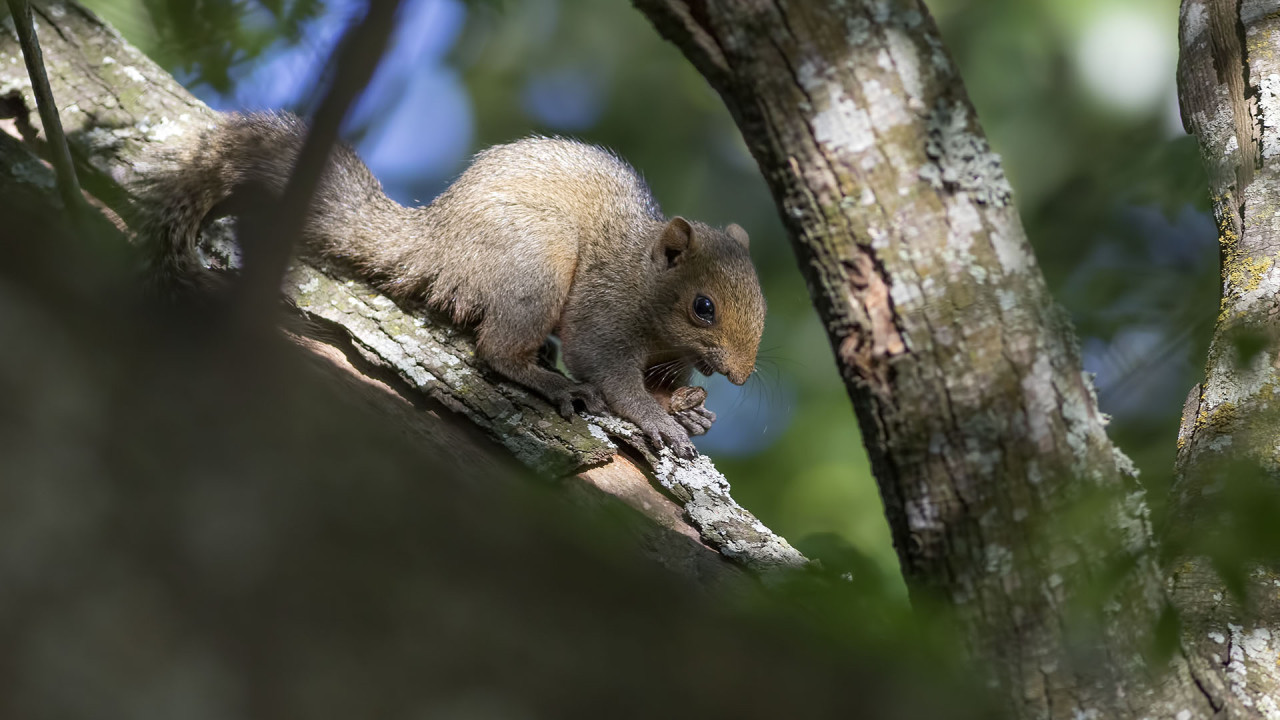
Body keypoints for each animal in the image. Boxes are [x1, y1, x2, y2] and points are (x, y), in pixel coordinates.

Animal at [149, 114, 768, 456]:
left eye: (761, 304)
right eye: (703, 307)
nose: (740, 377)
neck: (646, 287)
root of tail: (440, 243)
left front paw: (688, 405)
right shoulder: (605, 315)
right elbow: (611, 373)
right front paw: (658, 418)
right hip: (536, 261)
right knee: (496, 349)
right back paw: (552, 382)